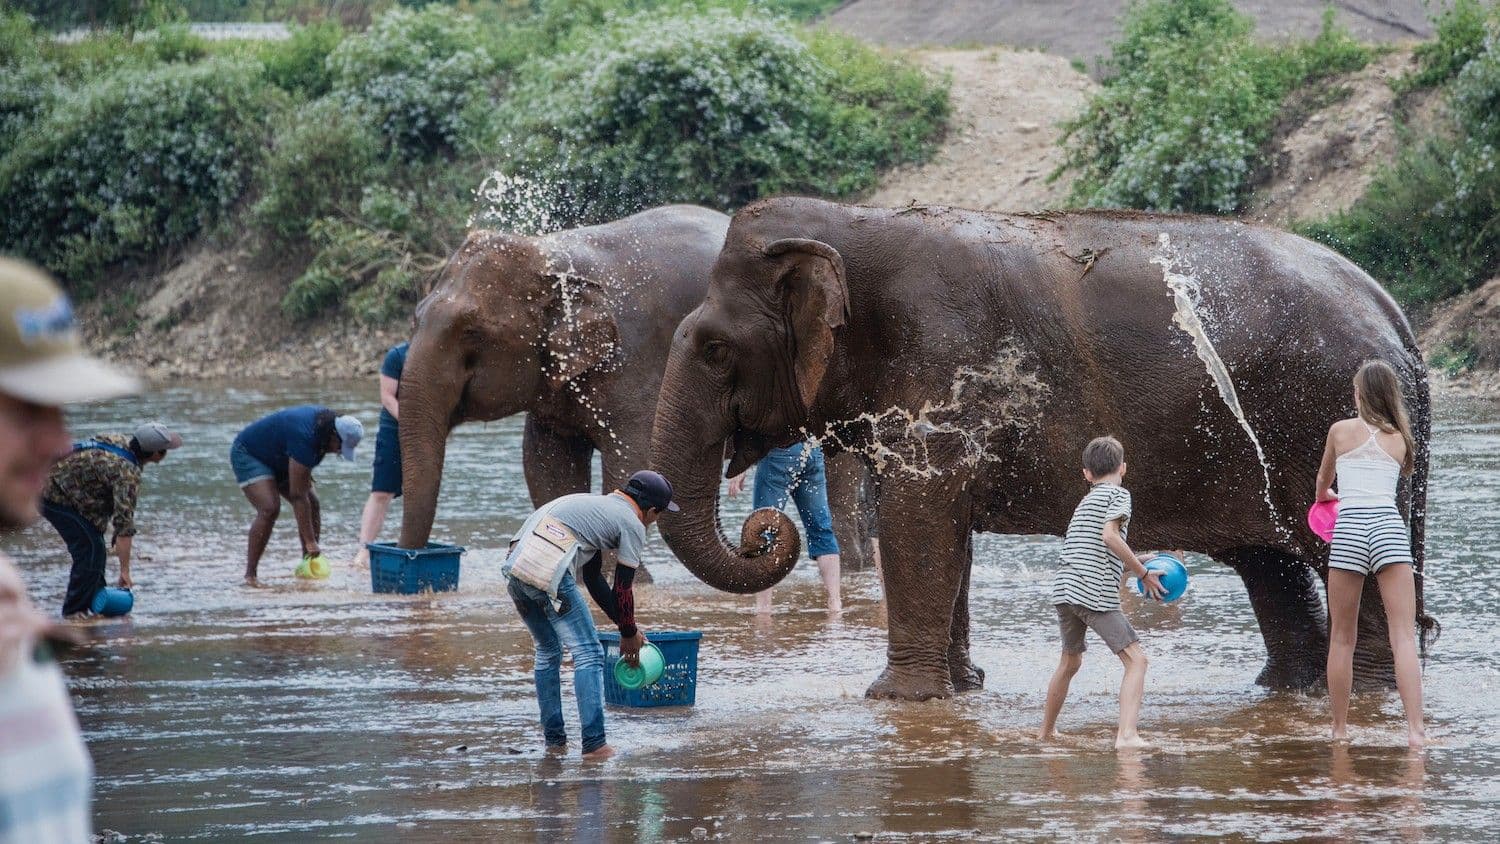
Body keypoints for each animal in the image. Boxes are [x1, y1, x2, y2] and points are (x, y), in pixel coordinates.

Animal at [395, 203, 879, 573]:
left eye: (471, 333)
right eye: (415, 318)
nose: (411, 558)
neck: (555, 252)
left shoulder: (633, 363)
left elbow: (631, 458)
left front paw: (619, 577)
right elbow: (546, 466)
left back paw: (853, 569)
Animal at [650, 196, 1432, 701]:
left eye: (715, 349)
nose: (762, 529)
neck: (852, 221)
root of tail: (1396, 314)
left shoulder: (942, 371)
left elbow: (919, 523)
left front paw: (895, 700)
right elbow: (944, 534)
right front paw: (961, 690)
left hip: (1325, 422)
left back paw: (1360, 693)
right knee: (1271, 565)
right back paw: (1288, 689)